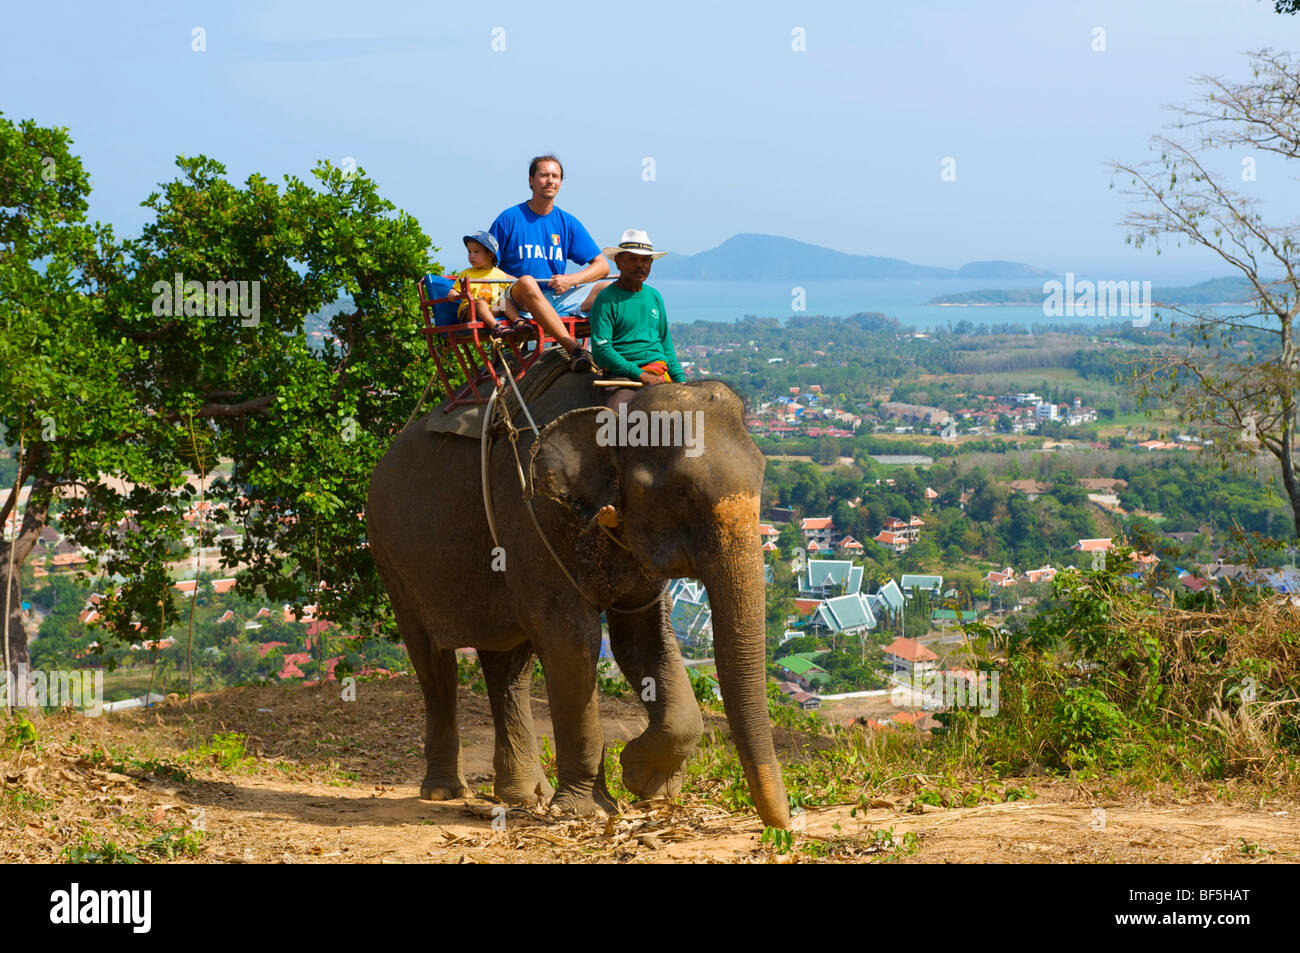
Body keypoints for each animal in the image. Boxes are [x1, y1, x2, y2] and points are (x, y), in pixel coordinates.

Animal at [366, 361, 790, 826]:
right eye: (681, 490)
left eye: (764, 474)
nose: (783, 826)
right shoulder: (530, 515)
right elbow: (572, 640)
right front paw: (590, 809)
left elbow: (642, 641)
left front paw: (644, 782)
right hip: (390, 553)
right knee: (433, 658)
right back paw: (445, 791)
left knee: (506, 663)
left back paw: (522, 796)